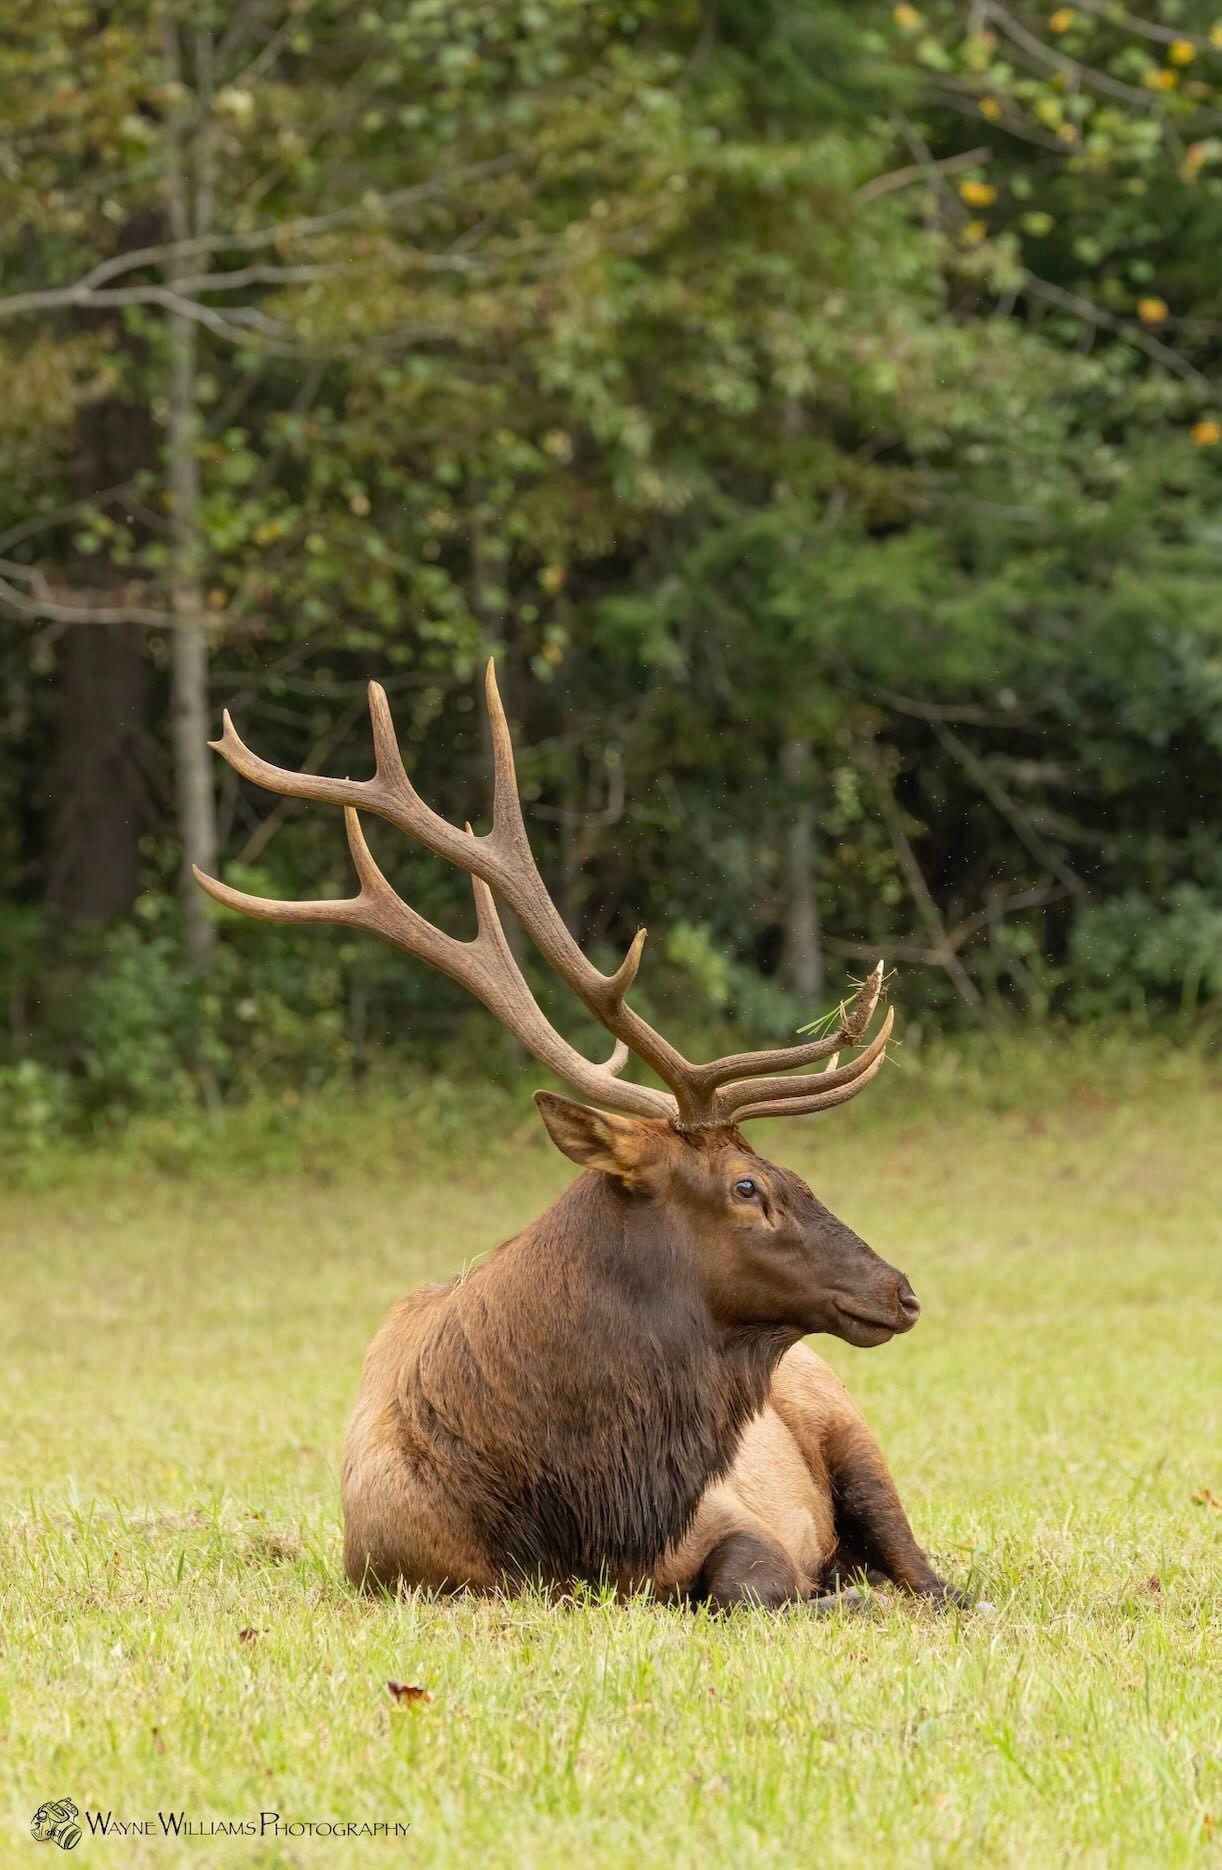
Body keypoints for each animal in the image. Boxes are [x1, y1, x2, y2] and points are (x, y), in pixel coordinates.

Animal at [195, 666, 970, 1612]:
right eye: (748, 1186)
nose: (901, 1290)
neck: (572, 1508)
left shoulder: (729, 1513)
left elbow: (747, 1579)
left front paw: (836, 1593)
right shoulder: (404, 1569)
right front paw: (838, 1594)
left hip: (846, 1424)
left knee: (928, 1571)